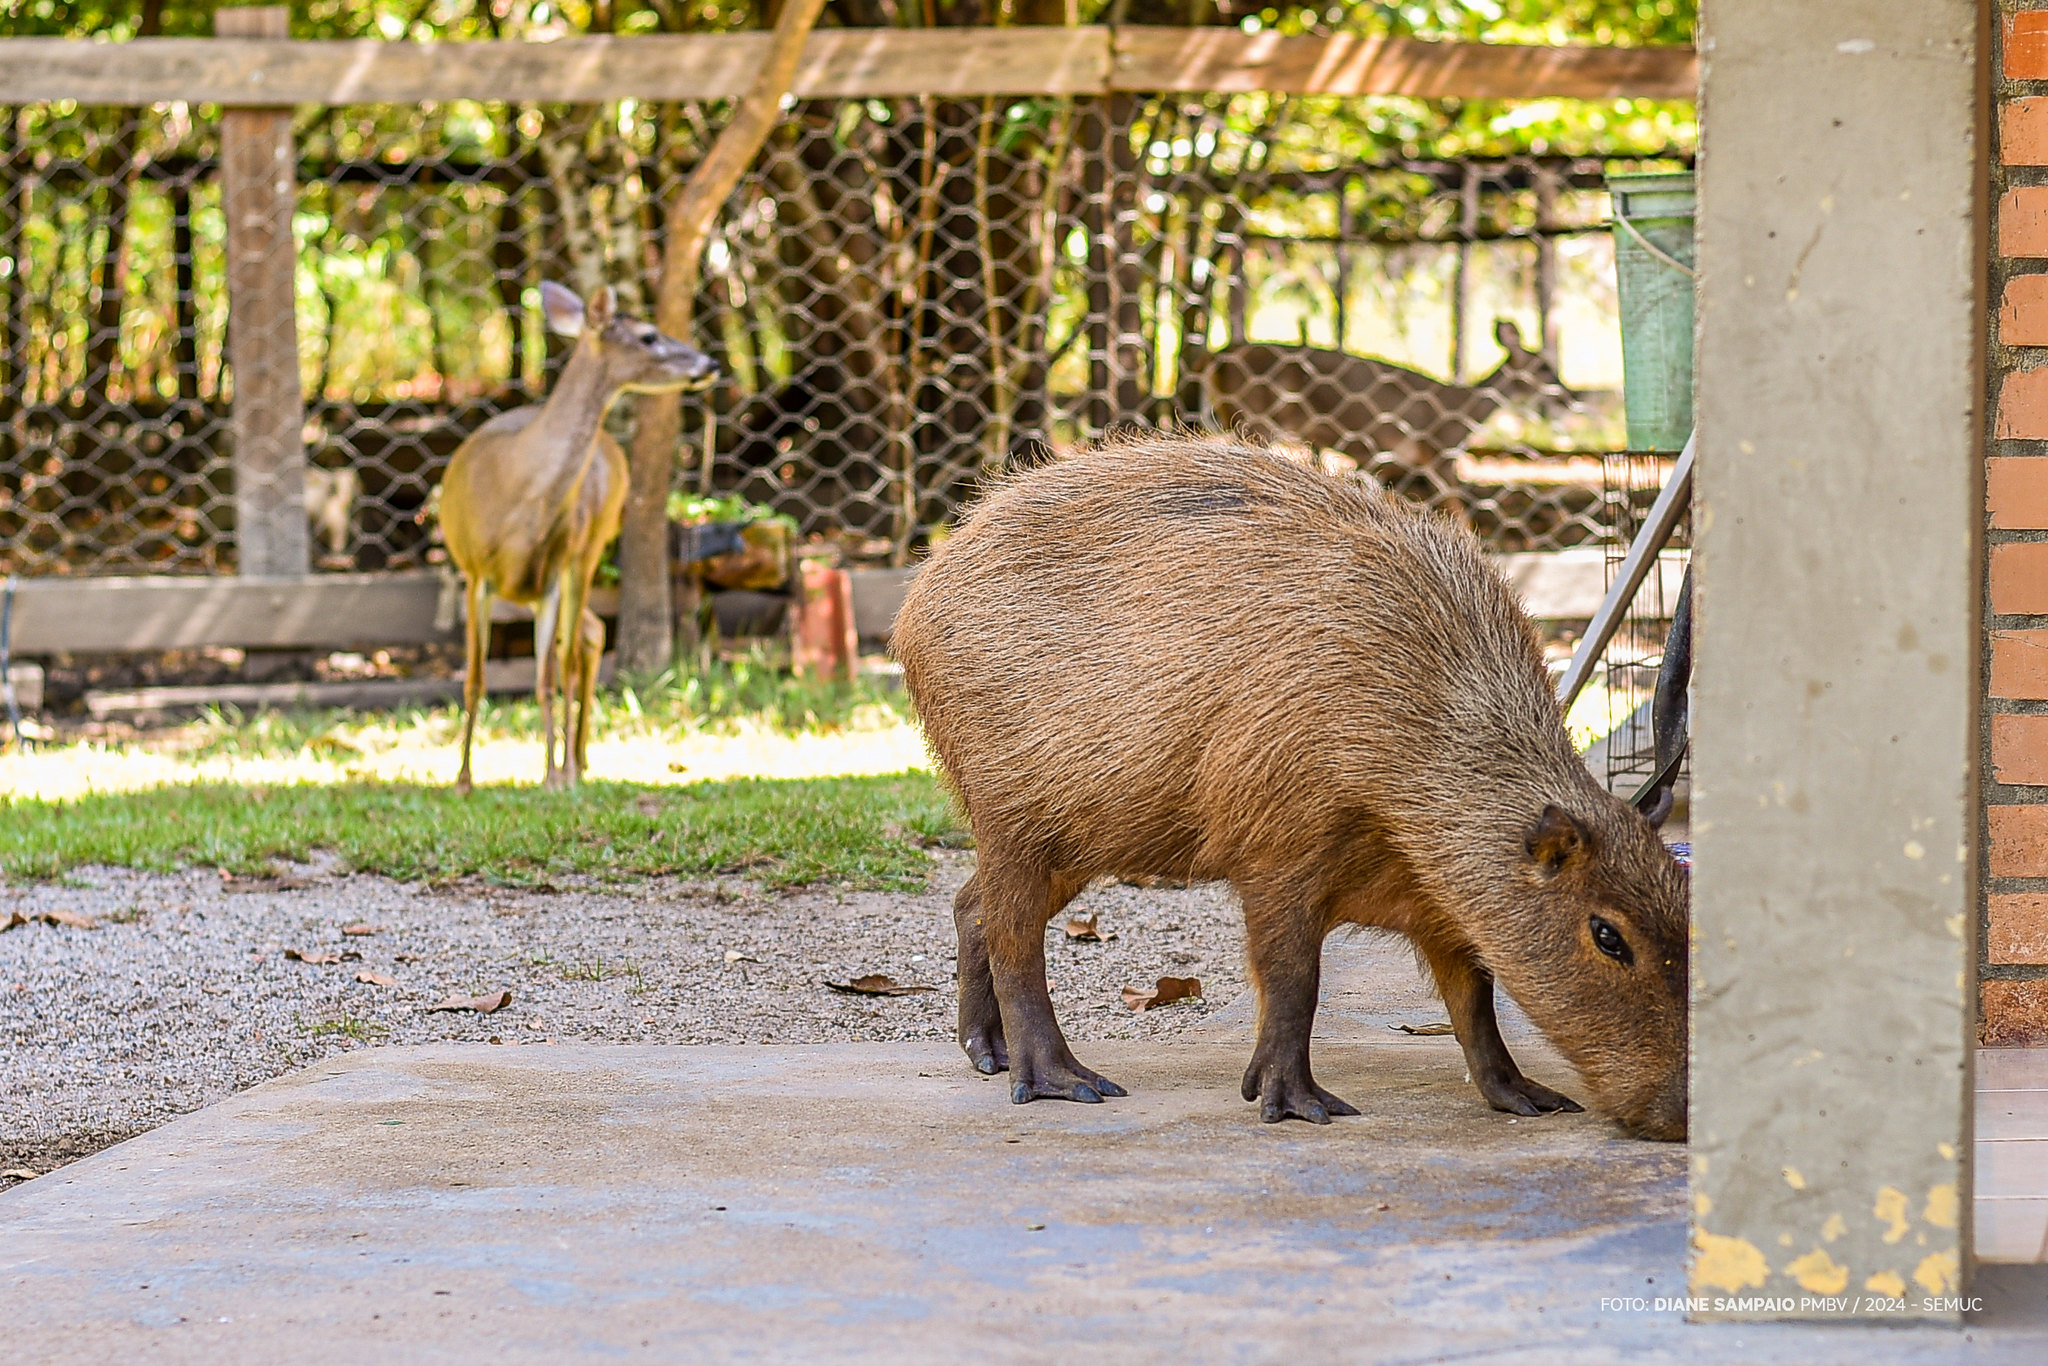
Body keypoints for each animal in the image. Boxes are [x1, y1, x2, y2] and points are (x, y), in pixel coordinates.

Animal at [436, 280, 716, 790]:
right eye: (649, 336)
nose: (710, 364)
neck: (518, 491)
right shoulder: (475, 571)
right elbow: (475, 678)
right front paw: (464, 778)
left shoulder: (553, 571)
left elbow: (549, 677)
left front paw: (552, 773)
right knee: (587, 632)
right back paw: (576, 758)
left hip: (587, 553)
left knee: (585, 638)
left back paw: (575, 761)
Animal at [1196, 321, 1564, 507]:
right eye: (1545, 367)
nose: (1568, 394)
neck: (1463, 410)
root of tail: (1218, 356)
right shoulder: (1437, 453)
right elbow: (1460, 512)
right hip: (1256, 418)